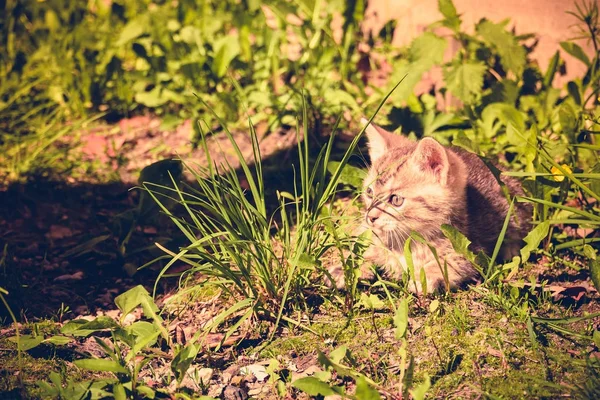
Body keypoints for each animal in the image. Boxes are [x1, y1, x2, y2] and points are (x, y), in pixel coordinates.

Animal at [330, 119, 532, 294]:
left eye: (396, 200)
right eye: (369, 192)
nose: (370, 216)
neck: (407, 241)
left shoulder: (472, 250)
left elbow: (451, 262)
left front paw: (426, 275)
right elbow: (361, 248)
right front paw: (346, 268)